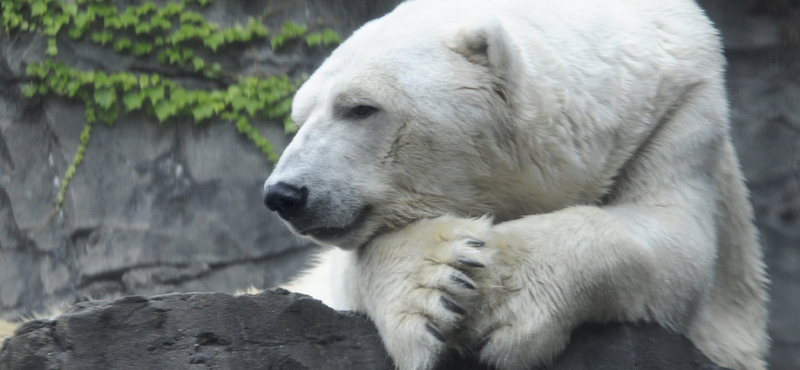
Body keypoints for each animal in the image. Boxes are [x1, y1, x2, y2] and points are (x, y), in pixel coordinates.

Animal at [262, 0, 768, 370]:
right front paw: (439, 284)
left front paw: (504, 296)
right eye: (301, 117)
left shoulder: (676, 115)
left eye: (360, 108)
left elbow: (675, 244)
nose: (284, 194)